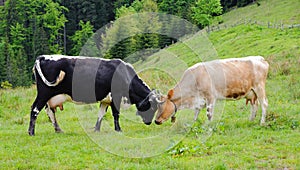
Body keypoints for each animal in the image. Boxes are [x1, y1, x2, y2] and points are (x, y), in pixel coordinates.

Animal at [28, 54, 159, 135]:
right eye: (152, 107)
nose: (149, 122)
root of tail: (42, 57)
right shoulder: (116, 96)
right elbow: (116, 114)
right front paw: (118, 130)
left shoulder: (105, 100)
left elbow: (101, 114)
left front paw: (96, 129)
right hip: (44, 93)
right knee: (35, 109)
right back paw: (31, 132)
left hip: (49, 97)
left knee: (50, 112)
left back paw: (58, 130)